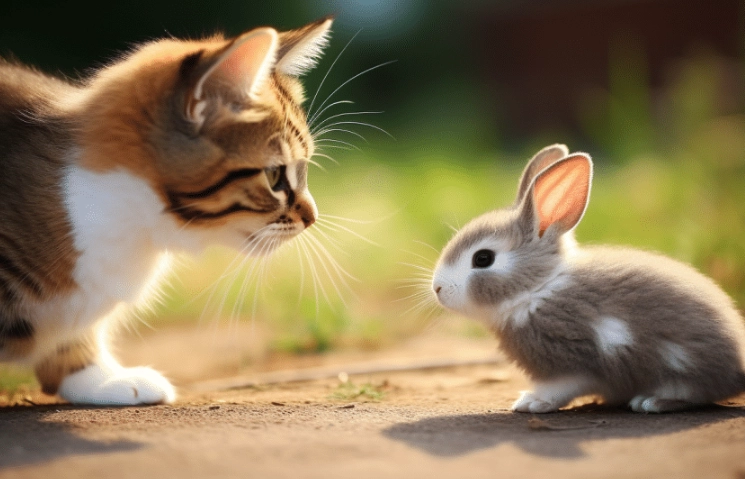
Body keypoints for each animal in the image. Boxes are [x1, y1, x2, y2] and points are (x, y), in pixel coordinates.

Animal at [432, 144, 745, 413]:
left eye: (483, 258)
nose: (437, 288)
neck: (539, 289)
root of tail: (738, 368)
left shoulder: (573, 361)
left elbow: (562, 387)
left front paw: (531, 402)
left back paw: (652, 401)